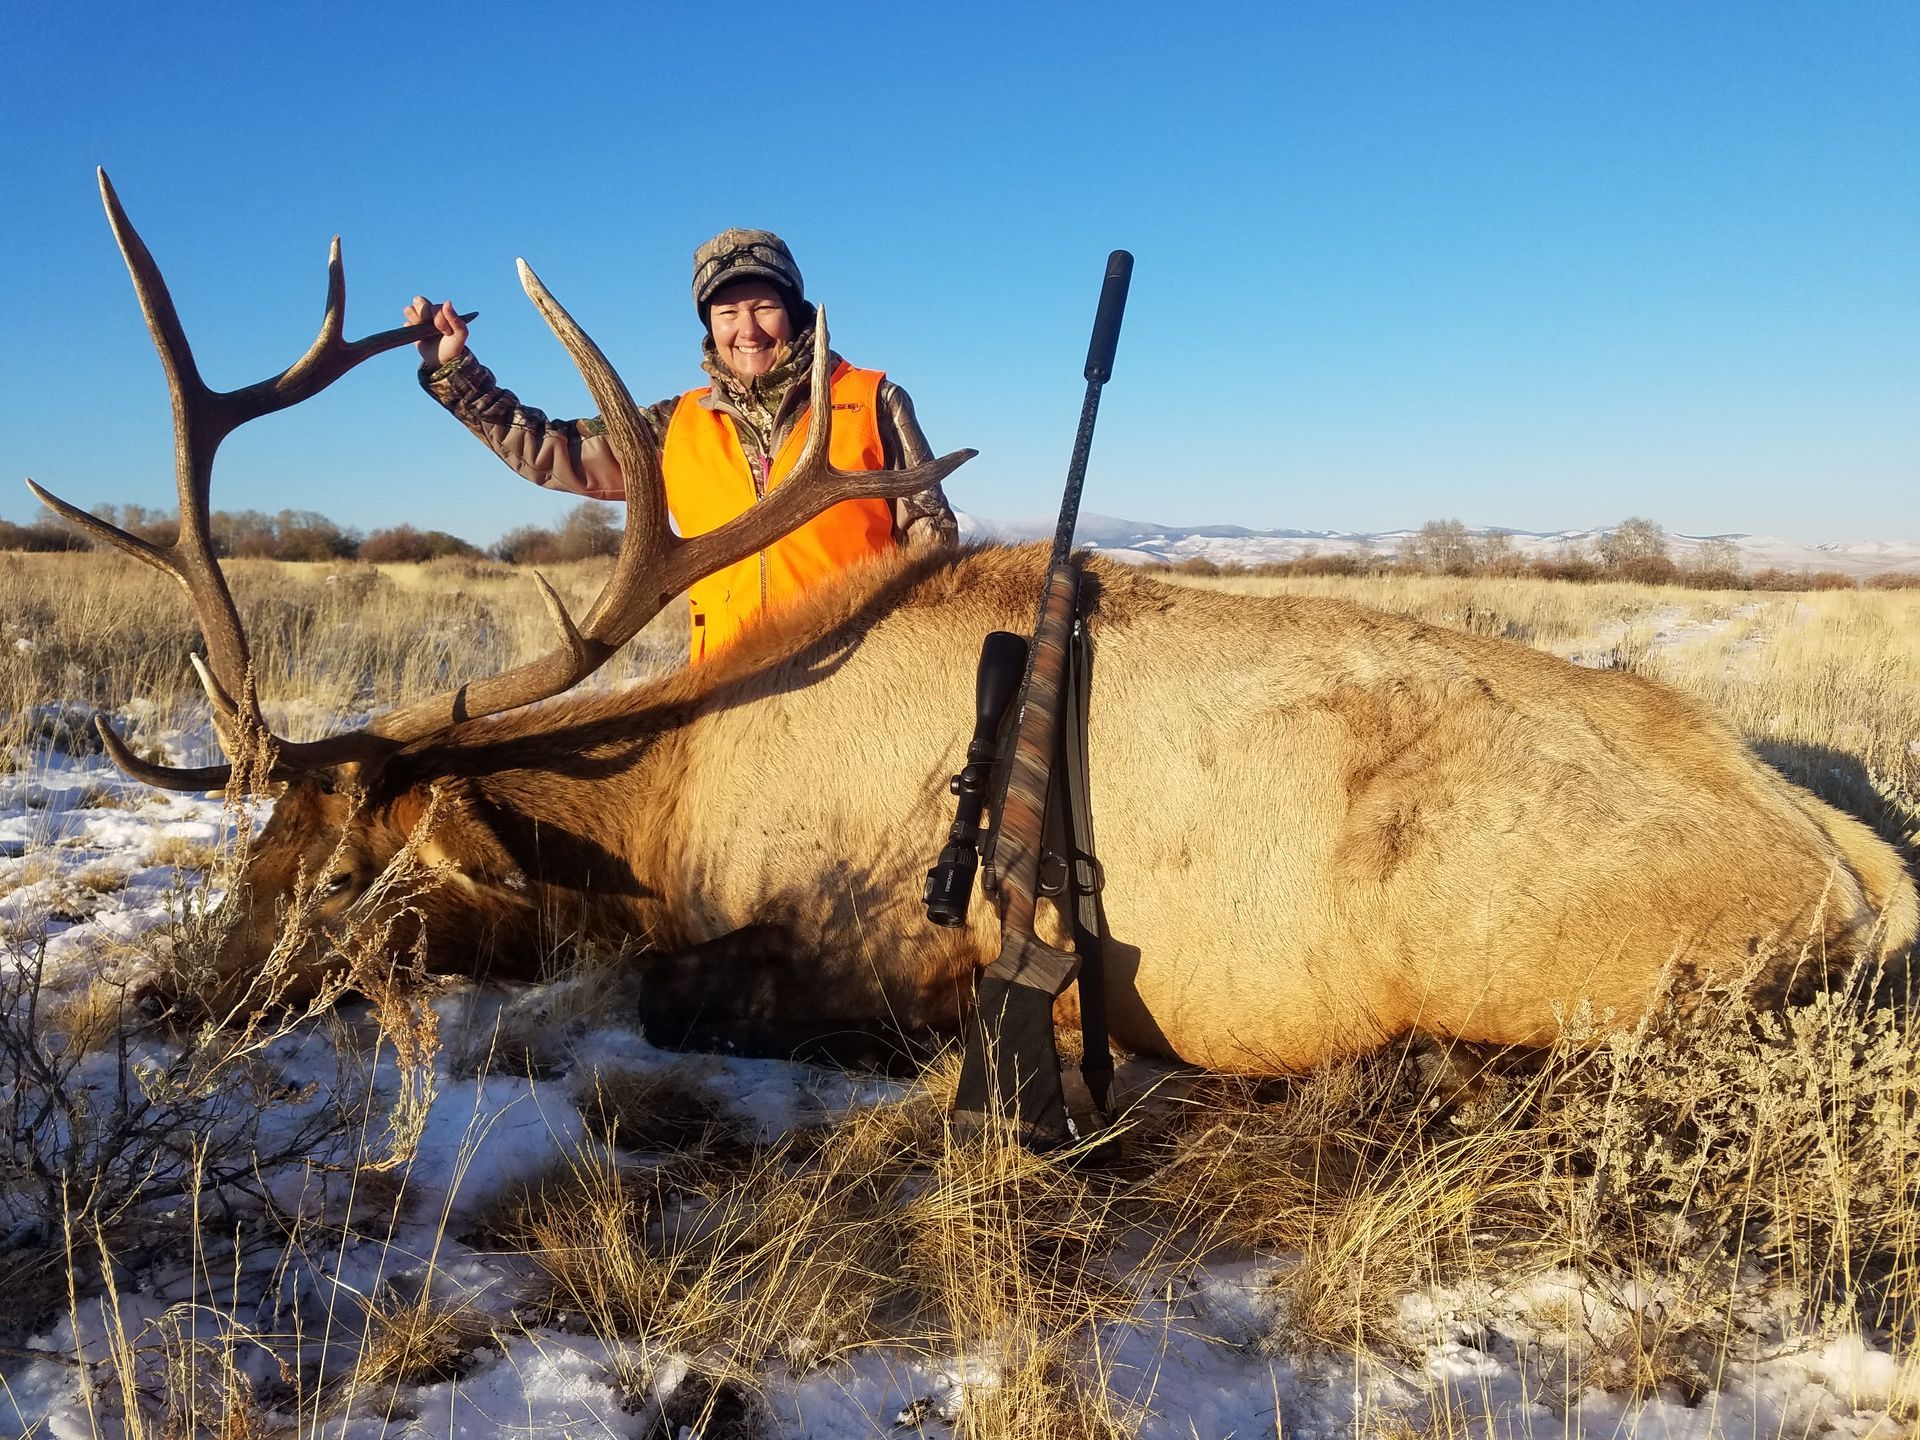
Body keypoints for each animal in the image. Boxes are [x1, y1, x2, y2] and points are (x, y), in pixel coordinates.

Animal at [33, 173, 1917, 1079]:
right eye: (255, 849)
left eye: (350, 871)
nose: (160, 999)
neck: (662, 812)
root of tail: (1850, 859)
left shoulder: (877, 948)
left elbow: (674, 994)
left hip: (1550, 959)